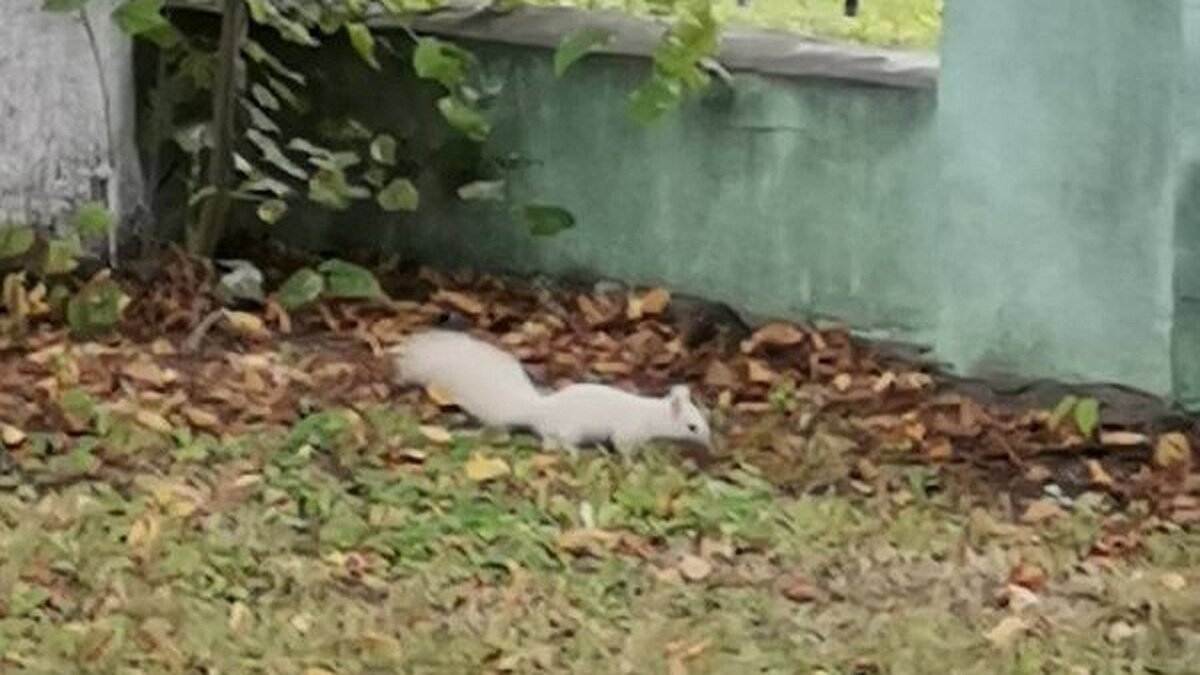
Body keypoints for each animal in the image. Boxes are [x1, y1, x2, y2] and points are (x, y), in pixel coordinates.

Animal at [391, 326, 710, 451]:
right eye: (692, 427)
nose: (708, 441)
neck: (652, 414)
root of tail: (539, 412)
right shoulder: (628, 431)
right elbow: (622, 445)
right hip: (569, 431)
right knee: (551, 443)